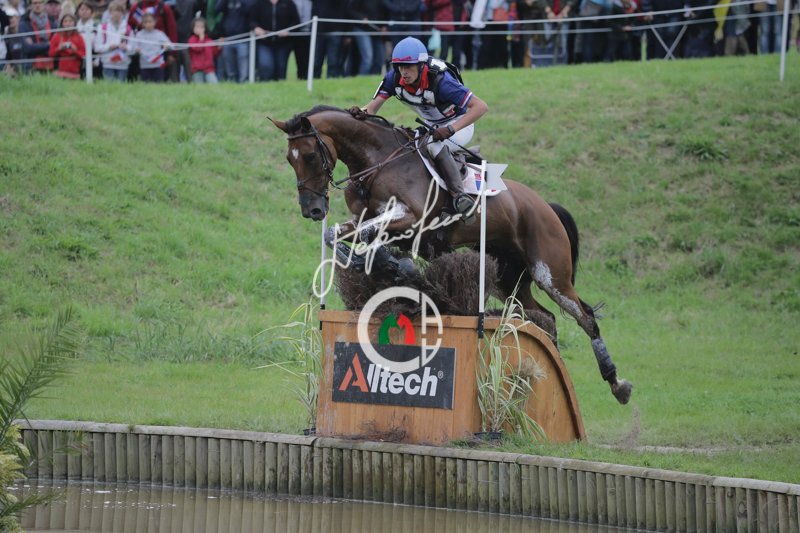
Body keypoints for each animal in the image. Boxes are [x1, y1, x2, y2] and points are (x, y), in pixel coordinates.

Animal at [271, 105, 632, 405]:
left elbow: (371, 235)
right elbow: (339, 235)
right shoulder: (371, 222)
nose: (312, 210)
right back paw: (548, 373)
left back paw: (617, 384)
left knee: (585, 316)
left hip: (550, 274)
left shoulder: (413, 219)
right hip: (509, 280)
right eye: (290, 159)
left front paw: (394, 265)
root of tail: (545, 205)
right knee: (544, 318)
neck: (377, 161)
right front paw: (382, 264)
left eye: (310, 156)